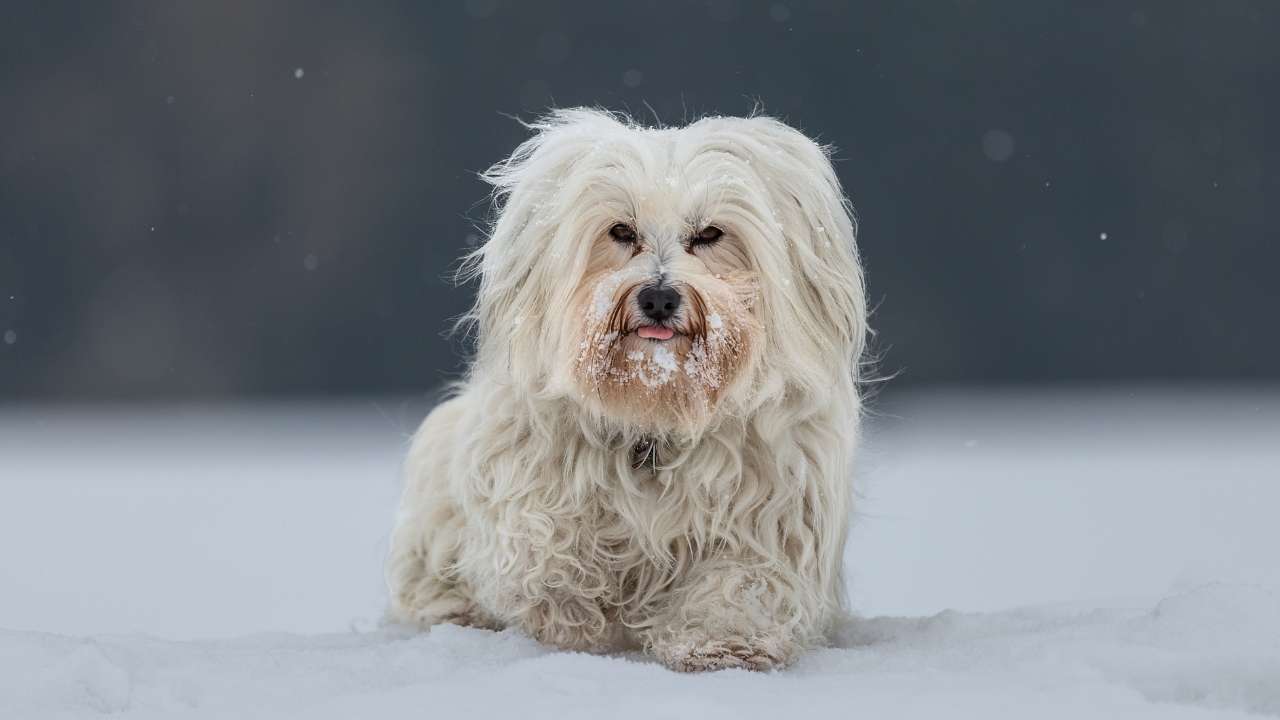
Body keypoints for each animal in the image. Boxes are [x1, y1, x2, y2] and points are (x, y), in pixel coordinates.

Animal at [386, 109, 870, 671]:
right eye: (621, 230)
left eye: (709, 233)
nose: (658, 297)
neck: (656, 409)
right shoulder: (525, 469)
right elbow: (541, 550)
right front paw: (570, 617)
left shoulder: (770, 509)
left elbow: (742, 582)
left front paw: (723, 643)